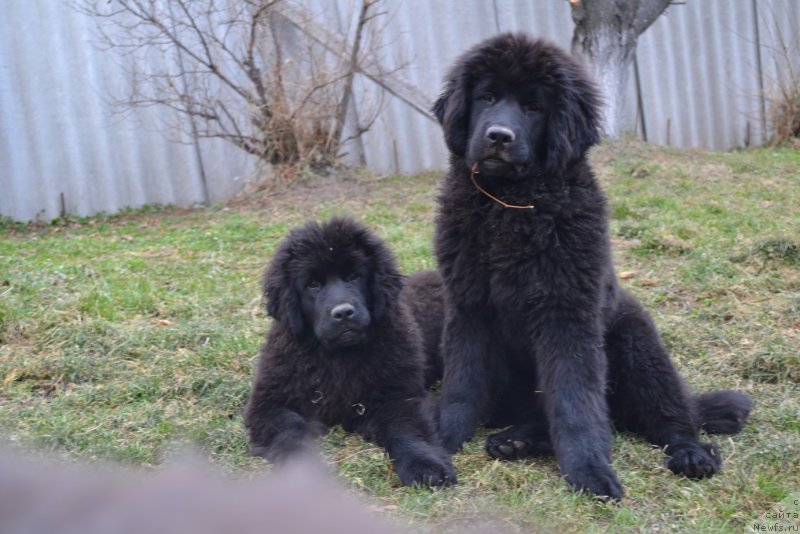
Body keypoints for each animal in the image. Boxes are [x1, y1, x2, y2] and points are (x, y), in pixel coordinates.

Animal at [244, 218, 454, 490]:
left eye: (354, 276)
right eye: (312, 284)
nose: (343, 313)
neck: (336, 358)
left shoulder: (399, 395)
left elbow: (405, 428)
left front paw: (424, 466)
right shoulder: (268, 404)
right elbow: (289, 428)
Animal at [432, 33, 752, 502]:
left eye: (534, 106)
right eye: (486, 97)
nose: (498, 136)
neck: (508, 206)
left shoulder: (567, 312)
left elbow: (574, 399)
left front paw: (588, 468)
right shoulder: (468, 305)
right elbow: (461, 382)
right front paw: (441, 437)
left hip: (638, 346)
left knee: (674, 419)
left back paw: (691, 455)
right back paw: (516, 439)